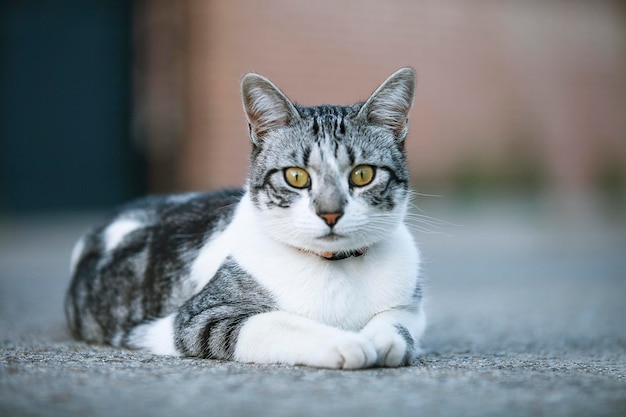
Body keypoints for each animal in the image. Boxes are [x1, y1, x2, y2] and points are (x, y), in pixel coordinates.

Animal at [66, 66, 424, 368]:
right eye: (296, 177)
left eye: (363, 174)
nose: (330, 213)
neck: (336, 266)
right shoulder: (196, 319)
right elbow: (276, 323)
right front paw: (346, 343)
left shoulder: (410, 306)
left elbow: (396, 324)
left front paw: (382, 340)